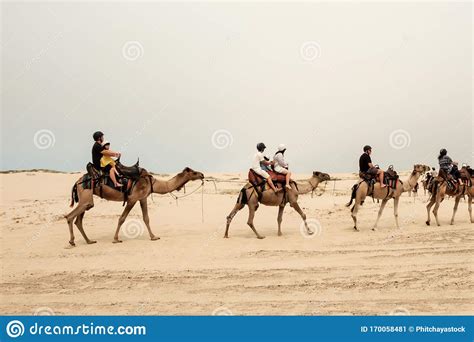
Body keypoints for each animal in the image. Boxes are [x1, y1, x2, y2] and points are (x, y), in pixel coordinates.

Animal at [64, 166, 204, 244]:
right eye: (193, 172)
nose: (202, 174)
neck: (153, 183)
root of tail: (77, 182)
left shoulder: (143, 198)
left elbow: (146, 218)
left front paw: (153, 237)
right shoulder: (132, 199)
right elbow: (122, 218)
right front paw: (116, 239)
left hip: (86, 199)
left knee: (78, 220)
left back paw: (89, 241)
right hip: (86, 195)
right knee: (70, 216)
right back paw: (72, 241)